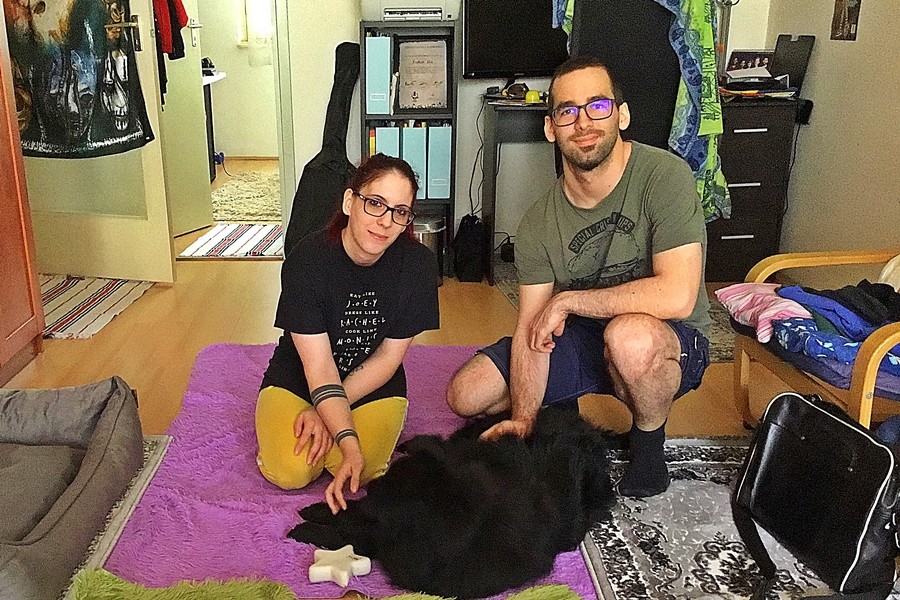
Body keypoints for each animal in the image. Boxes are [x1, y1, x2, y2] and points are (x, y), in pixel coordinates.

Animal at [288, 407, 615, 599]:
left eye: (385, 486)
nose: (372, 485)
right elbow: (352, 518)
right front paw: (317, 512)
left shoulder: (387, 538)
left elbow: (352, 526)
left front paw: (309, 526)